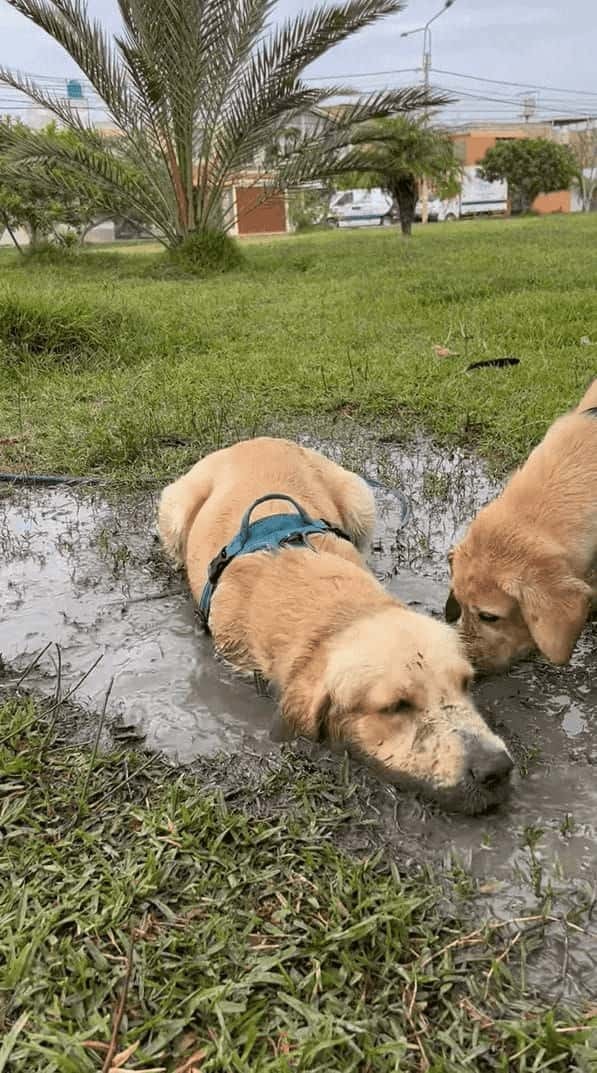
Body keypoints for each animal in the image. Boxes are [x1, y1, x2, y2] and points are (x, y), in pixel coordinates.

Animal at [158, 435, 513, 811]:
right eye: (395, 707)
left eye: (466, 683)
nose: (497, 769)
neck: (340, 611)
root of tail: (258, 439)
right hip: (175, 509)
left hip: (359, 498)